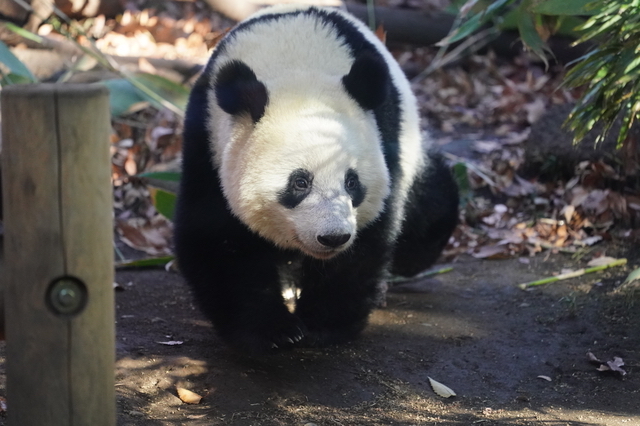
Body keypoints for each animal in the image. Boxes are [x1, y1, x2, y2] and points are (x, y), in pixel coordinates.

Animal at [172, 5, 458, 352]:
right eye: (300, 182)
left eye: (352, 182)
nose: (333, 237)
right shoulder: (207, 140)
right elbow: (220, 240)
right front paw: (272, 330)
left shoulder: (385, 140)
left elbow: (365, 243)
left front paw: (323, 324)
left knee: (428, 209)